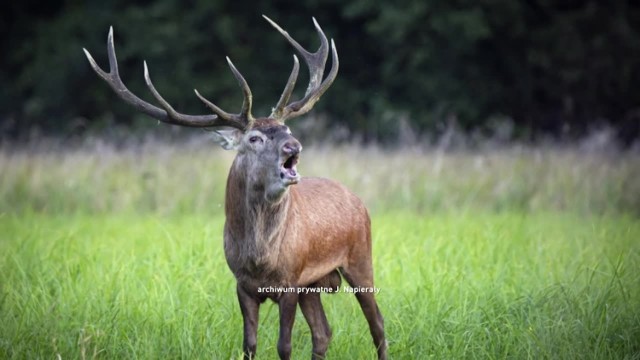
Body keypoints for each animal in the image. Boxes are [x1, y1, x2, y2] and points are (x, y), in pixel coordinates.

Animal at [82, 15, 388, 358]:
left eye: (287, 129)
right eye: (254, 138)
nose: (293, 146)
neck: (260, 257)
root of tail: (357, 199)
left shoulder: (290, 280)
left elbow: (284, 346)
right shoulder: (242, 285)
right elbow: (249, 345)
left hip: (361, 257)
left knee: (377, 323)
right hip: (315, 283)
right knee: (323, 333)